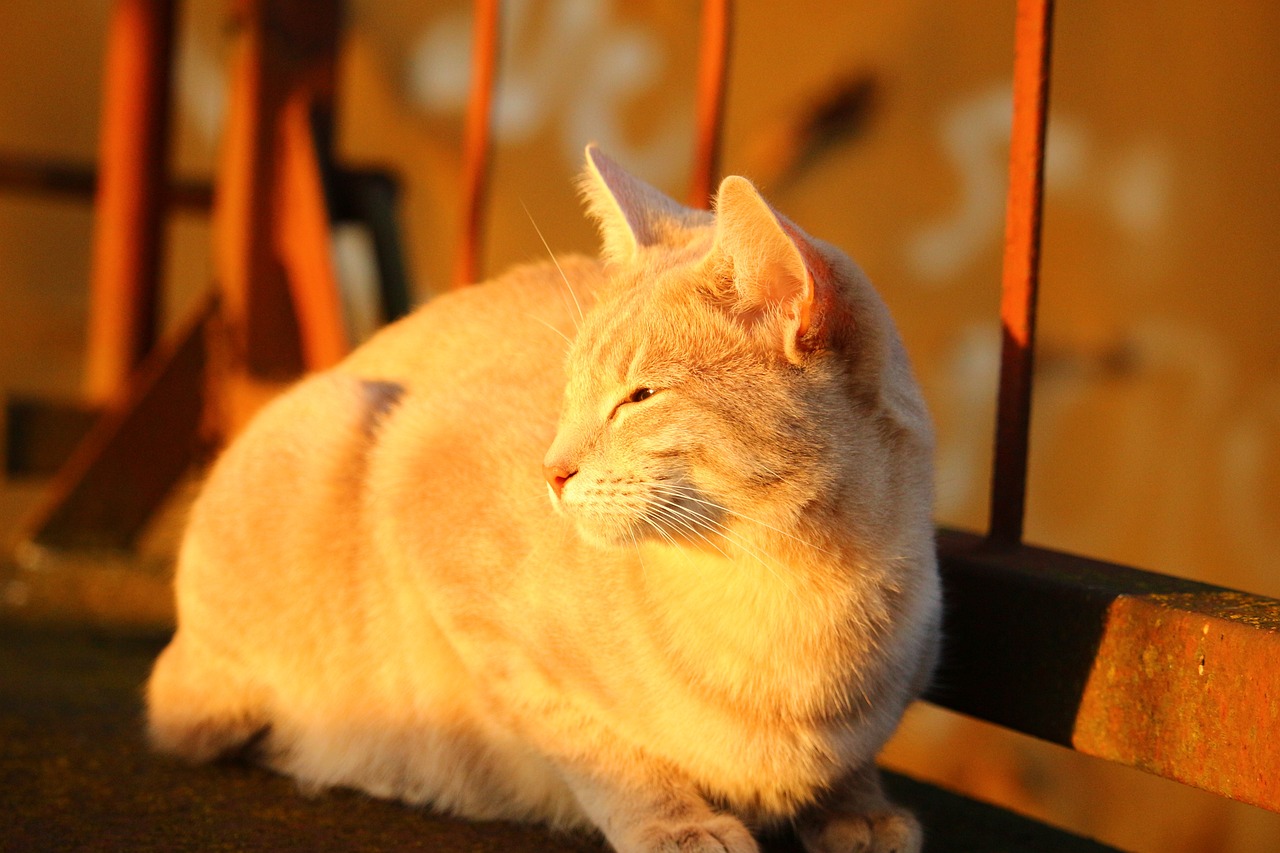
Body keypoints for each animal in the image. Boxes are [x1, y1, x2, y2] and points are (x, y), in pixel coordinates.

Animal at [145, 147, 942, 850]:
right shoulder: (435, 510)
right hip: (335, 422)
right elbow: (593, 743)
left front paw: (858, 809)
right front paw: (675, 823)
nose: (550, 471)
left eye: (638, 397)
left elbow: (852, 765)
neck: (788, 596)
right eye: (570, 392)